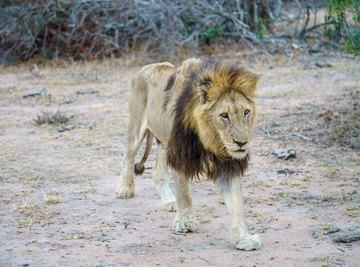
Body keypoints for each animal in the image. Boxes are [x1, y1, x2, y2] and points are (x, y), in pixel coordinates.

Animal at [118, 57, 262, 251]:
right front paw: (185, 222)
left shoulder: (229, 165)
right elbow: (184, 194)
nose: (241, 143)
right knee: (127, 156)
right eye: (224, 115)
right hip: (137, 127)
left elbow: (237, 203)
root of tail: (146, 67)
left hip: (164, 142)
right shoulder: (179, 155)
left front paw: (244, 239)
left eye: (246, 112)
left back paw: (169, 202)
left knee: (157, 173)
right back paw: (125, 189)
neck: (210, 138)